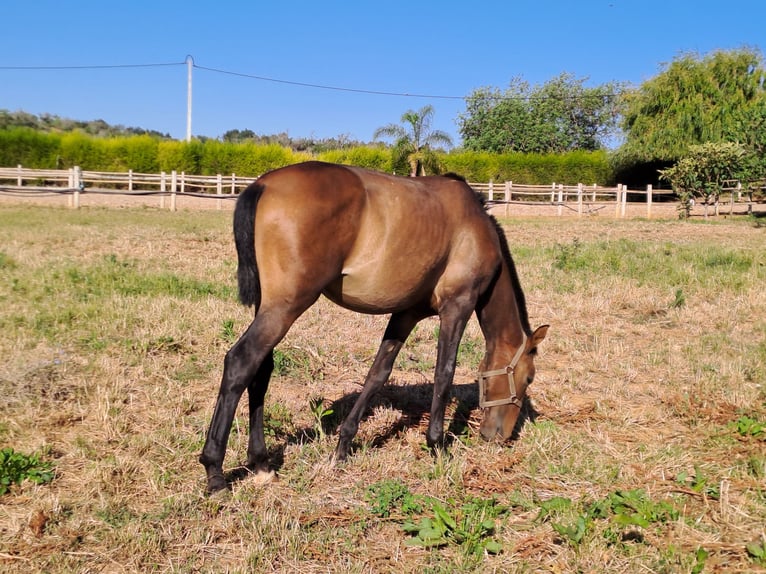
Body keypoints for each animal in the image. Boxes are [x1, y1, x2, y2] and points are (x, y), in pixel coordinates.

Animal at [201, 161, 548, 496]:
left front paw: (343, 445)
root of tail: (263, 184)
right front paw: (437, 445)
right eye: (528, 378)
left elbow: (378, 373)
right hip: (287, 307)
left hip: (270, 307)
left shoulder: (406, 313)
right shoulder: (457, 308)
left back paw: (260, 463)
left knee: (261, 370)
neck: (475, 226)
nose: (499, 436)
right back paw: (215, 472)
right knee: (240, 362)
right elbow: (444, 374)